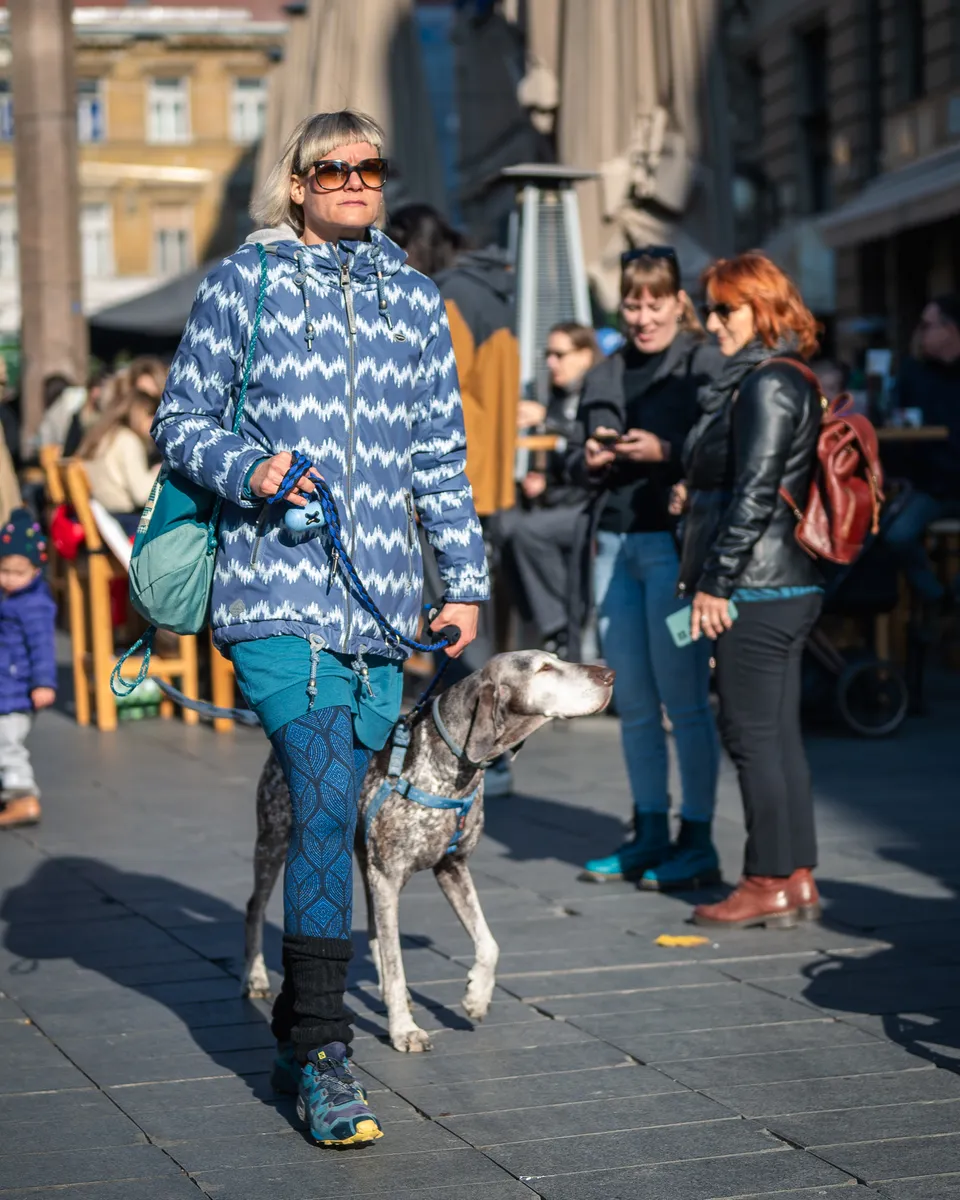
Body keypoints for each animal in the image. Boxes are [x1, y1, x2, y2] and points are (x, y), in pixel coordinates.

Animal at [242, 652, 614, 1056]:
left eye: (557, 659)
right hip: (278, 840)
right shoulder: (388, 877)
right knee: (256, 907)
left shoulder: (452, 868)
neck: (450, 766)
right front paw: (404, 1029)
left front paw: (477, 996)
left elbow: (489, 943)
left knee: (375, 934)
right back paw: (255, 977)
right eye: (544, 669)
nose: (609, 674)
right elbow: (396, 962)